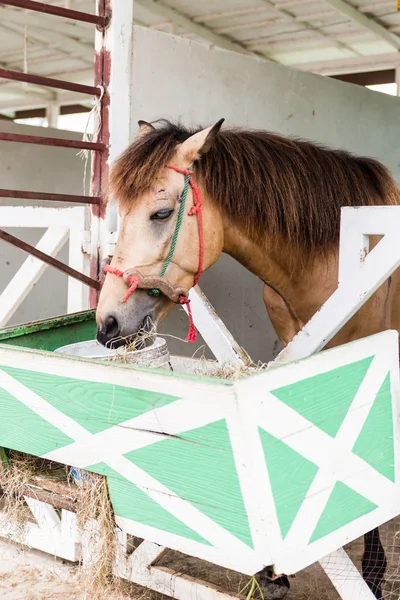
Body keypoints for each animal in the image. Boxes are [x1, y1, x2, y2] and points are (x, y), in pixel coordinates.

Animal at [95, 119, 398, 596]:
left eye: (161, 214)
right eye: (121, 214)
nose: (107, 323)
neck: (330, 253)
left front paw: (371, 569)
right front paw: (278, 568)